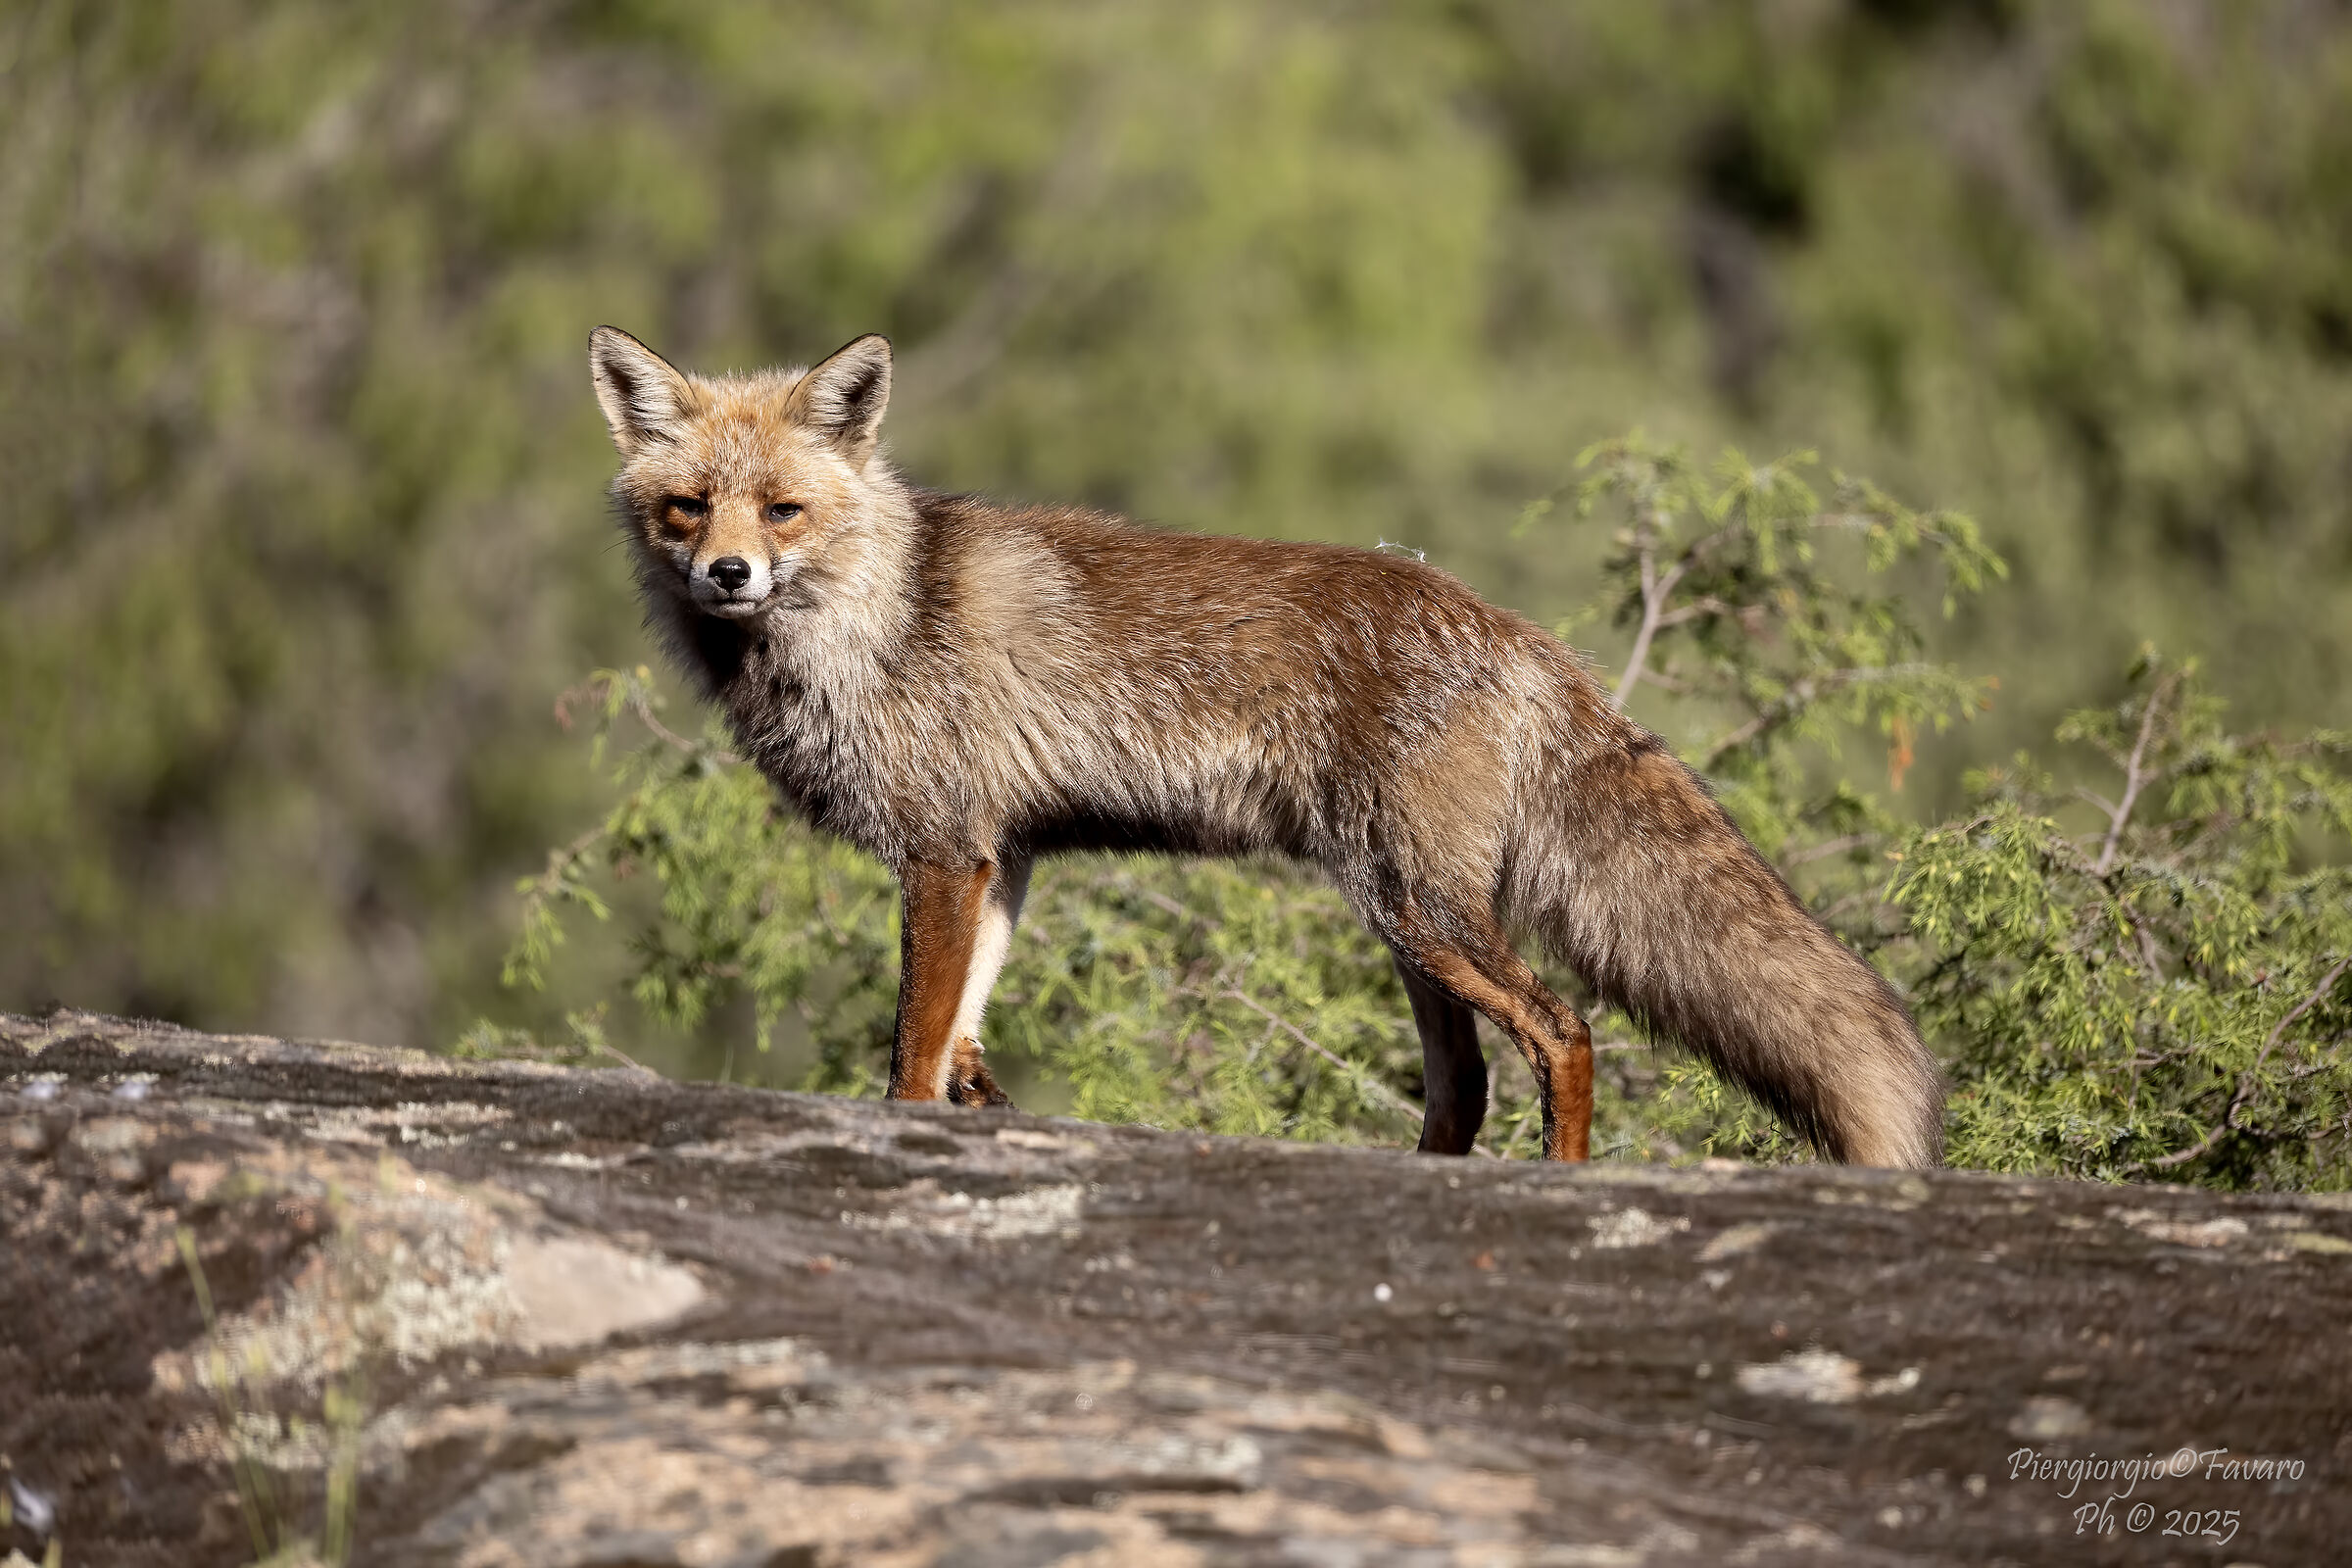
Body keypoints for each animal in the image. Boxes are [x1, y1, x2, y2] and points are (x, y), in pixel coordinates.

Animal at [587, 326, 1944, 1168]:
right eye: (688, 508)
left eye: (783, 510)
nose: (727, 575)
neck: (873, 616)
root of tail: (1516, 629)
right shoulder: (998, 855)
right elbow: (965, 1028)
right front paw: (986, 1103)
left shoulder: (940, 847)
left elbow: (913, 1050)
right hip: (1406, 919)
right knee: (1465, 1086)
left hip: (1424, 913)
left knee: (1562, 1031)